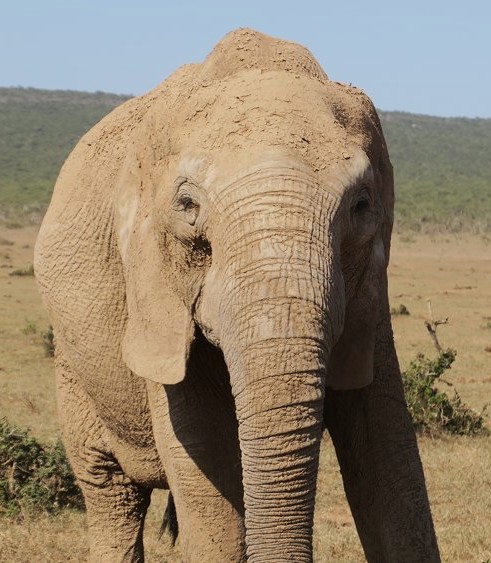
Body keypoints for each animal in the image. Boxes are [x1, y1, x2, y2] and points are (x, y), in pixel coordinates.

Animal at [34, 28, 440, 562]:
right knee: (109, 490)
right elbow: (206, 465)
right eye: (186, 206)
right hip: (71, 359)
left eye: (361, 206)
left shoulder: (370, 296)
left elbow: (392, 464)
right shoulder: (154, 286)